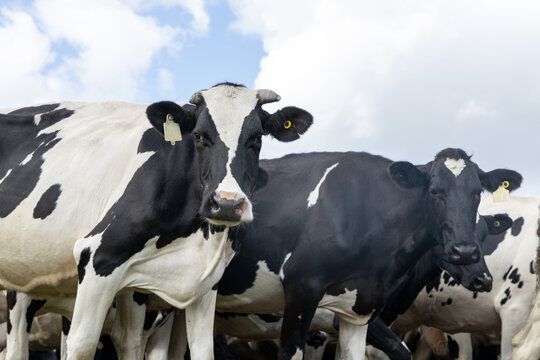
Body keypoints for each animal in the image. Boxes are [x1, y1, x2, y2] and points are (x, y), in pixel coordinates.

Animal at [0, 82, 312, 360]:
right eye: (199, 136)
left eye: (256, 138)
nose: (227, 203)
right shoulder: (96, 256)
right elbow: (82, 345)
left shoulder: (201, 282)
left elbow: (187, 349)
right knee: (16, 349)